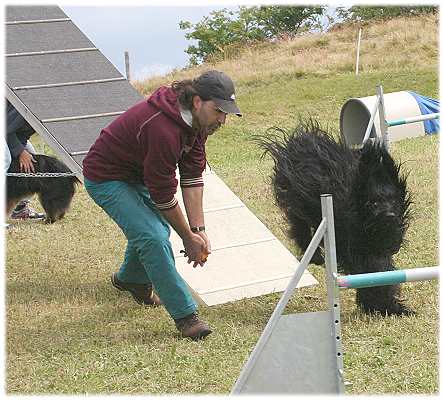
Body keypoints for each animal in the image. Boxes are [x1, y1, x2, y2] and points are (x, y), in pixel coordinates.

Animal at [258, 119, 414, 316]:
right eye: (373, 203)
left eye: (393, 201)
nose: (389, 215)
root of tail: (301, 140)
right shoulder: (355, 248)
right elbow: (374, 274)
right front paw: (382, 306)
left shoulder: (379, 247)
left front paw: (386, 306)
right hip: (297, 198)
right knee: (298, 225)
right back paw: (315, 255)